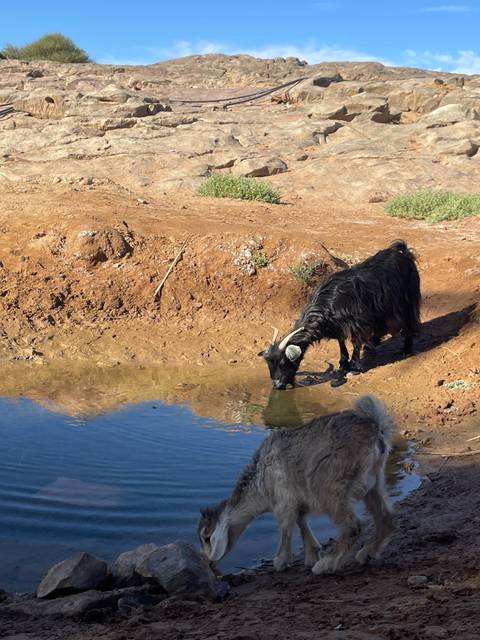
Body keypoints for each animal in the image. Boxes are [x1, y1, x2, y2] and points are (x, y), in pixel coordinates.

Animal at [198, 395, 395, 574]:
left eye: (207, 538)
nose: (208, 563)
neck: (260, 478)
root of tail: (374, 429)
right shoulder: (298, 500)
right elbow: (301, 522)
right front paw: (311, 554)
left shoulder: (283, 502)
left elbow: (286, 527)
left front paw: (281, 561)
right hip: (373, 483)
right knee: (386, 517)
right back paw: (366, 553)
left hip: (329, 488)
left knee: (353, 526)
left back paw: (326, 564)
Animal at [258, 240, 421, 389]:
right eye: (269, 364)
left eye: (282, 362)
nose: (277, 385)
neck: (327, 304)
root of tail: (401, 251)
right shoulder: (337, 325)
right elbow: (341, 342)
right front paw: (343, 363)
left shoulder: (357, 322)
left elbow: (355, 342)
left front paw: (354, 366)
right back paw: (373, 343)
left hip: (405, 301)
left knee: (408, 323)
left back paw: (406, 350)